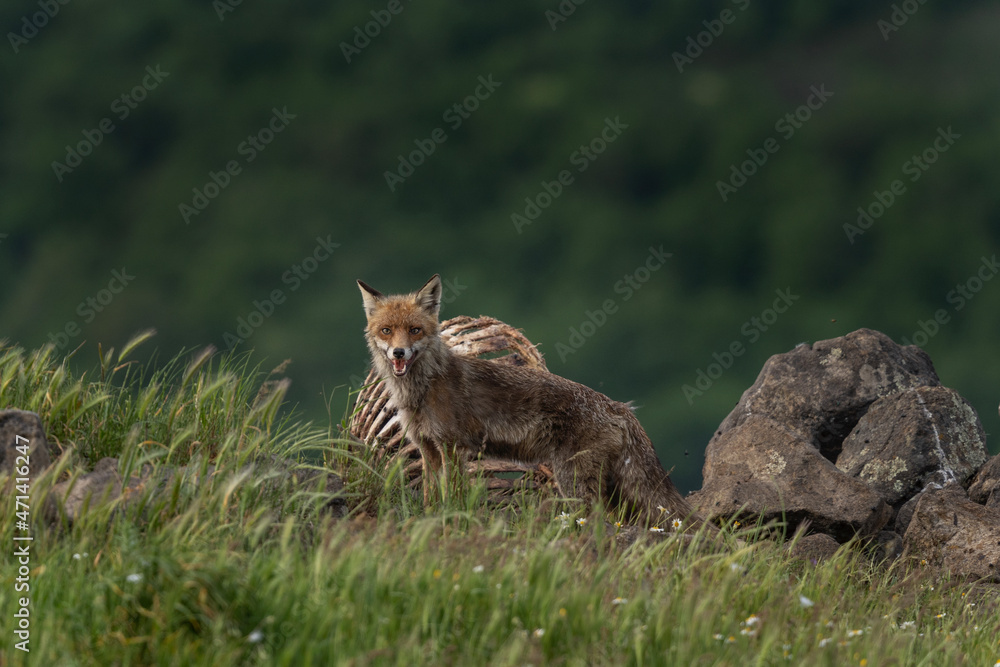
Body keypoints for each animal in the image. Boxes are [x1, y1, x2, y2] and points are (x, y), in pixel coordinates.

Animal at [357, 273, 699, 526]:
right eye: (386, 331)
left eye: (414, 330)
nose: (399, 353)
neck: (423, 389)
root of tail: (618, 407)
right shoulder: (429, 450)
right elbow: (431, 498)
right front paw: (429, 522)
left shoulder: (453, 448)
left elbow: (452, 498)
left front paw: (451, 524)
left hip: (574, 481)